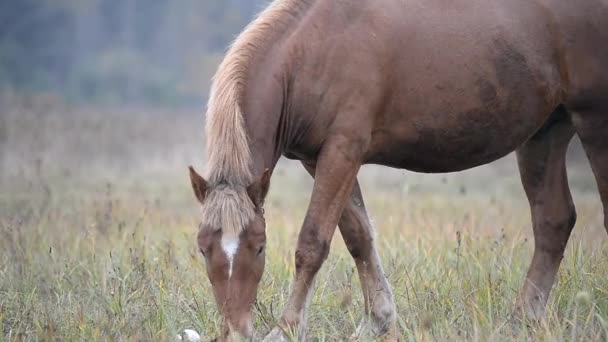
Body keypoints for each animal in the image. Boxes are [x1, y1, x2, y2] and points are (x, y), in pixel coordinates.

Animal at [189, 0, 608, 340]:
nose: (236, 330)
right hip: (545, 133)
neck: (313, 49)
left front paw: (286, 329)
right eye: (203, 248)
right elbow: (359, 236)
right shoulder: (320, 159)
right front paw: (379, 320)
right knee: (553, 221)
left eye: (259, 247)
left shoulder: (342, 150)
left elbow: (313, 243)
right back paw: (523, 319)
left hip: (592, 122)